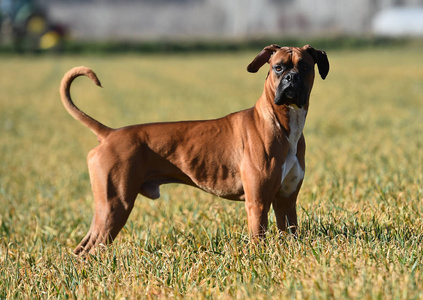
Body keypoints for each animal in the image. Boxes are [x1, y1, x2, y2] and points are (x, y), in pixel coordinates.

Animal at [59, 45, 330, 255]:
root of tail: (109, 134)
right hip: (114, 206)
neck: (282, 122)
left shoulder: (286, 201)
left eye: (305, 67)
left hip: (109, 208)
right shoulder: (258, 203)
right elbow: (258, 240)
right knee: (89, 249)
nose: (291, 78)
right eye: (278, 68)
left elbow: (289, 233)